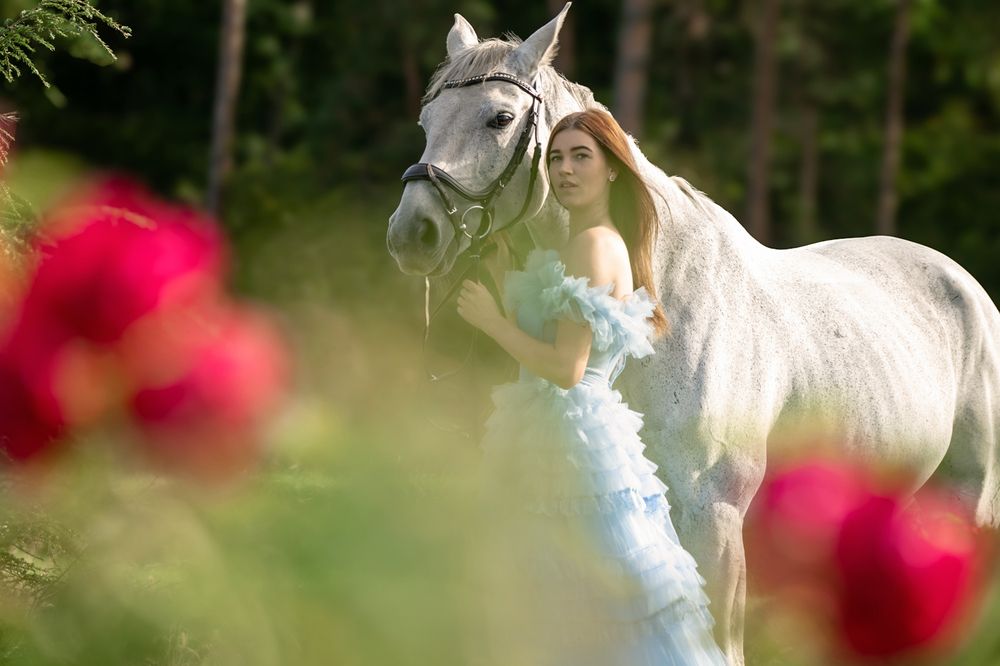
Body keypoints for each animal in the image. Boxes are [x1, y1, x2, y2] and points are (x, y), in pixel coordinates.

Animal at [386, 5, 1000, 664]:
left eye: (499, 119)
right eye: (426, 121)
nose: (411, 234)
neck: (664, 302)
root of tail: (969, 287)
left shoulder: (715, 516)